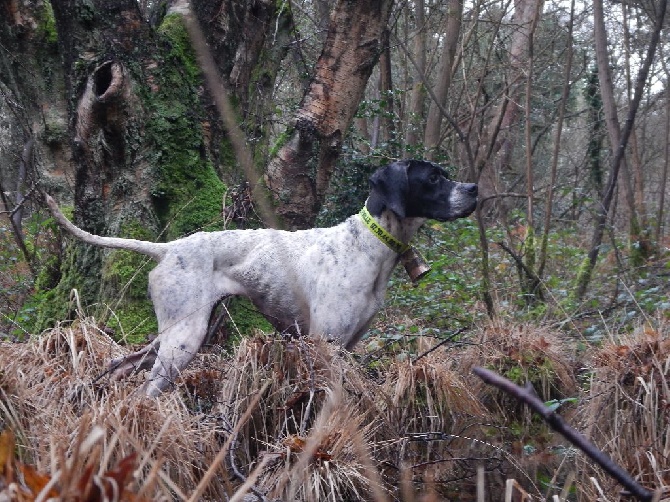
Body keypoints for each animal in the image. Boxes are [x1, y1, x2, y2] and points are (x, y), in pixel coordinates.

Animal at [46, 161, 478, 396]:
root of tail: (167, 248)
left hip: (175, 334)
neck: (369, 244)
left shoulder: (348, 346)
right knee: (143, 392)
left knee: (122, 367)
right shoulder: (326, 345)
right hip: (183, 340)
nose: (474, 188)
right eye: (433, 178)